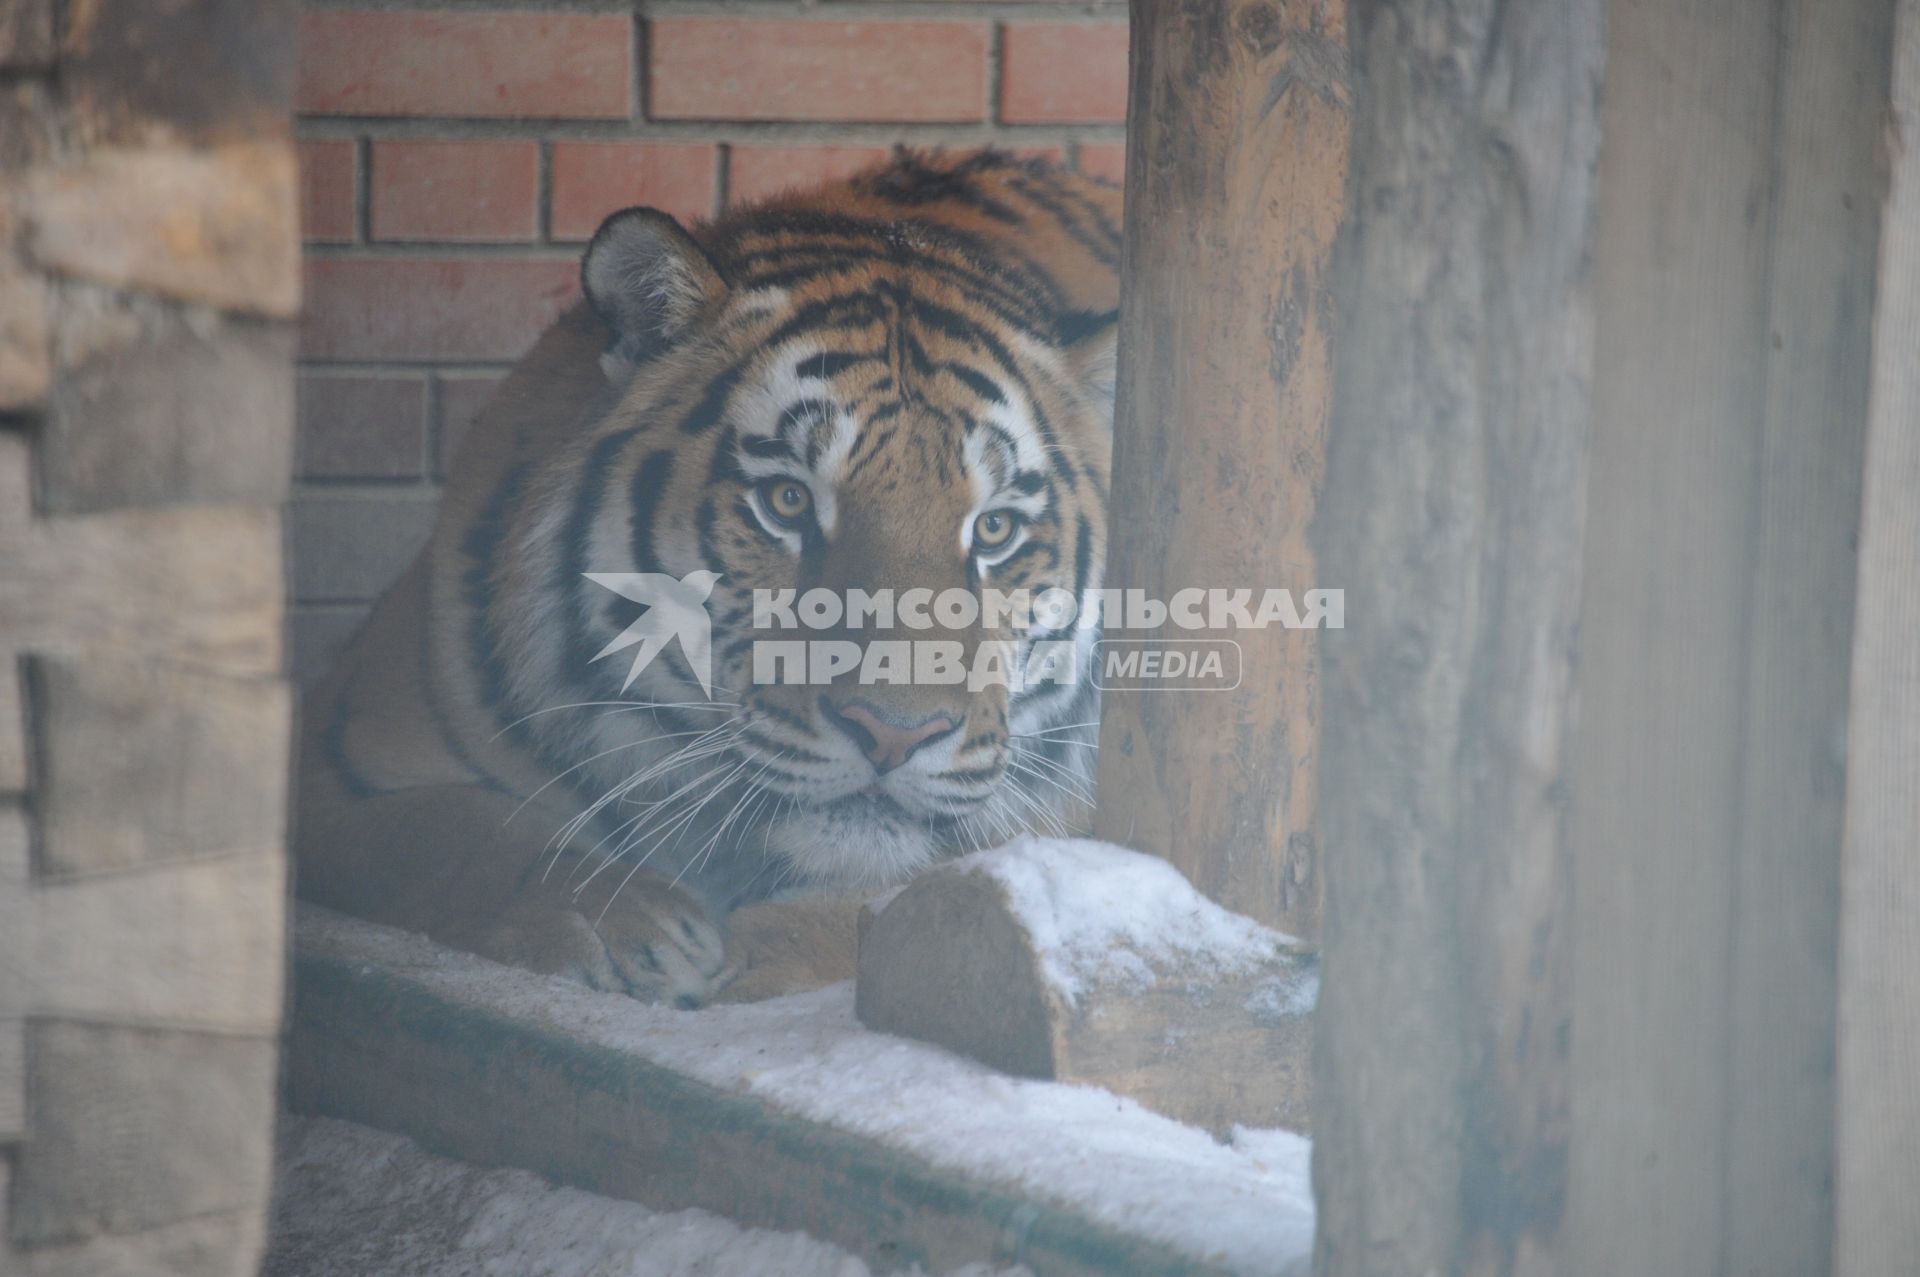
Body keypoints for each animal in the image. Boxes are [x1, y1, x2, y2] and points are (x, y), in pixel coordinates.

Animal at [291, 151, 1121, 1006]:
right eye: (786, 500)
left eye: (994, 529)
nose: (896, 734)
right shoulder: (330, 758)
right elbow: (452, 833)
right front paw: (622, 924)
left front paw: (763, 960)